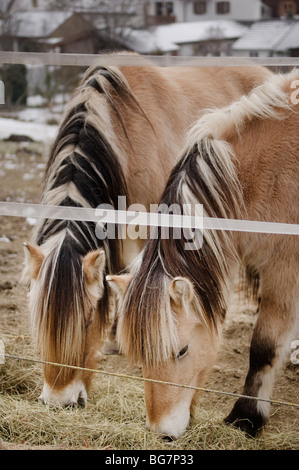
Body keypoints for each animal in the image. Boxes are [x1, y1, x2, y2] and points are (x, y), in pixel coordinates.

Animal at [110, 71, 299, 438]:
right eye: (139, 354)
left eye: (182, 350)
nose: (162, 432)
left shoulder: (285, 269)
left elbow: (265, 346)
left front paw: (247, 416)